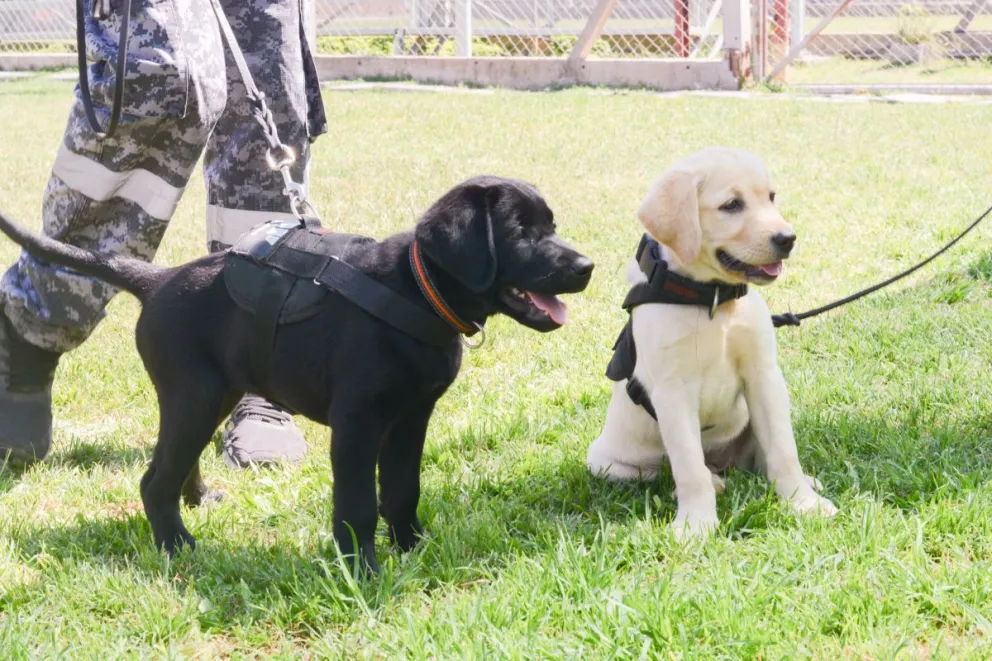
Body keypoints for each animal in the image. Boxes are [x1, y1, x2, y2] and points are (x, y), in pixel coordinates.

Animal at [0, 177, 588, 572]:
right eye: (520, 233)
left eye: (553, 227)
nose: (587, 267)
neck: (416, 290)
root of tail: (158, 279)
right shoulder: (357, 425)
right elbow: (357, 504)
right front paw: (362, 570)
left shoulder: (411, 419)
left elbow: (403, 489)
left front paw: (414, 548)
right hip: (195, 396)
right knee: (153, 478)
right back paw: (178, 548)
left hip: (208, 396)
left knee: (174, 462)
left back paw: (197, 502)